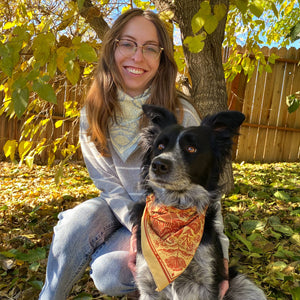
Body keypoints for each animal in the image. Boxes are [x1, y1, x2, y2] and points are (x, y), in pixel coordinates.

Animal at [130, 105, 266, 300]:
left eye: (191, 148)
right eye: (160, 146)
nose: (158, 165)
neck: (176, 208)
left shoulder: (207, 284)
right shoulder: (148, 285)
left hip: (246, 287)